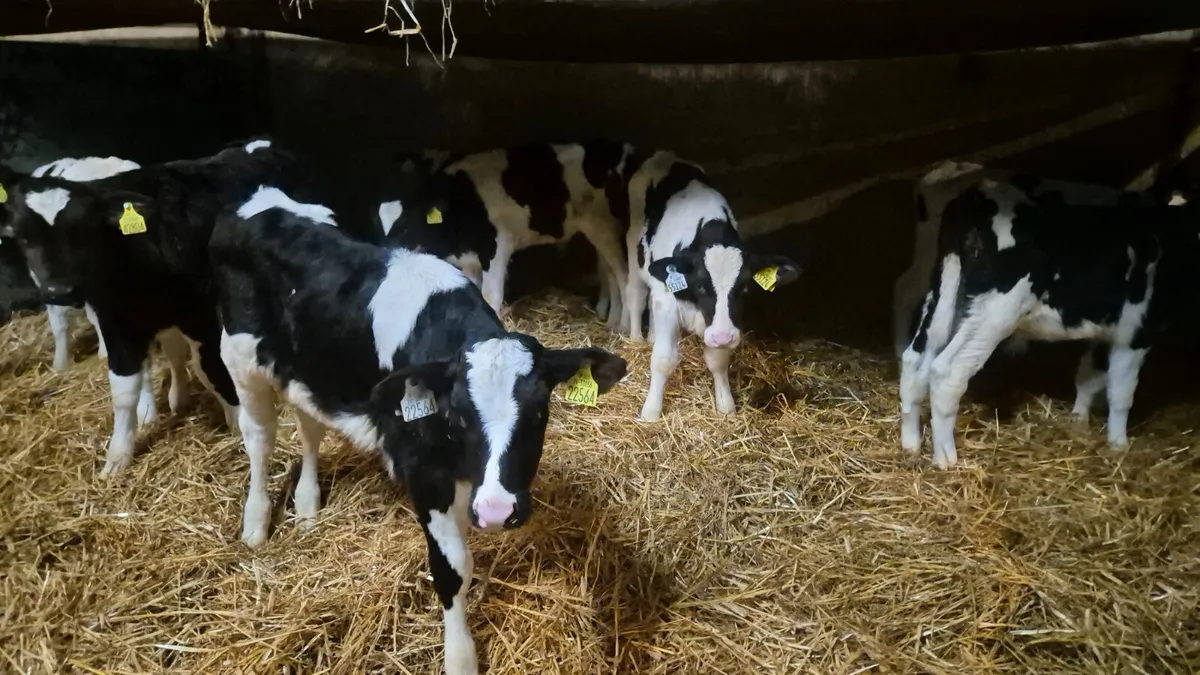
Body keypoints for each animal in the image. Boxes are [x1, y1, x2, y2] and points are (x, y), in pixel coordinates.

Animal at [0, 138, 300, 477]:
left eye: (82, 232)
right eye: (23, 237)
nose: (59, 291)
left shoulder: (200, 314)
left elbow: (210, 368)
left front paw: (235, 423)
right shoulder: (117, 323)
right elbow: (123, 388)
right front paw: (118, 456)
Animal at [211, 186, 628, 675]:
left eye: (539, 412)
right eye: (459, 415)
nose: (497, 511)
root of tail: (259, 196)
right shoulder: (424, 471)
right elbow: (453, 567)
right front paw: (460, 658)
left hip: (308, 368)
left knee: (309, 427)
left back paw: (308, 505)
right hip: (240, 360)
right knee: (259, 437)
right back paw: (256, 522)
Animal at [385, 141, 640, 331]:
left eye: (404, 227)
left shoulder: (497, 246)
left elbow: (491, 296)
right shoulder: (468, 260)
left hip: (604, 224)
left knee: (623, 274)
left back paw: (623, 326)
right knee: (608, 271)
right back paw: (609, 317)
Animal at [623, 151, 801, 421]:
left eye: (744, 288)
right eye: (700, 285)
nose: (723, 336)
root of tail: (665, 156)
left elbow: (718, 361)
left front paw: (725, 405)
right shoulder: (668, 301)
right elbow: (663, 359)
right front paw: (651, 411)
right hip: (634, 249)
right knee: (636, 294)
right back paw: (637, 340)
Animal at [899, 178, 1200, 468]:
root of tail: (978, 193)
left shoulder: (1103, 333)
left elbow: (1088, 376)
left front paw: (1079, 420)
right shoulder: (1136, 333)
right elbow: (1121, 394)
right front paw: (1119, 445)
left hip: (942, 291)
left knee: (915, 359)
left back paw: (911, 443)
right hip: (996, 309)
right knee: (947, 371)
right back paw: (946, 459)